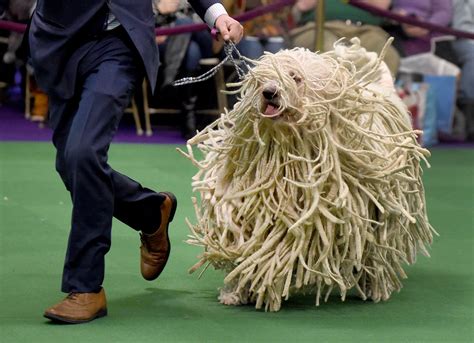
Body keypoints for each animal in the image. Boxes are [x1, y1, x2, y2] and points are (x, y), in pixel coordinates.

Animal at [180, 39, 436, 314]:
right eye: (262, 79)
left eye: (295, 77)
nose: (269, 92)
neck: (288, 153)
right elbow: (248, 242)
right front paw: (237, 289)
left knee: (375, 251)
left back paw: (373, 287)